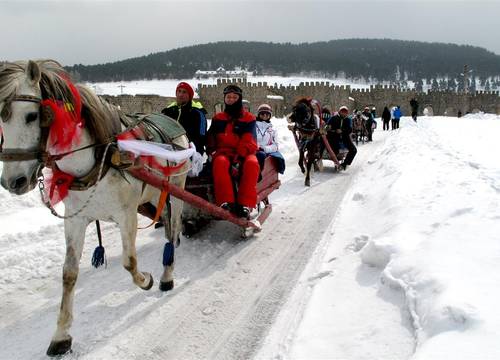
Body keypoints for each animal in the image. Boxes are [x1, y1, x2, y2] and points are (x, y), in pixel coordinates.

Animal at [0, 60, 190, 356]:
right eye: (1, 118)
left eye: (32, 116)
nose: (13, 181)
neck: (99, 157)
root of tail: (172, 121)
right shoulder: (75, 219)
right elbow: (68, 273)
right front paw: (61, 335)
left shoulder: (126, 215)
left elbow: (129, 262)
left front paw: (146, 279)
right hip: (151, 197)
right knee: (168, 223)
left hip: (176, 189)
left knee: (173, 228)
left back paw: (167, 275)